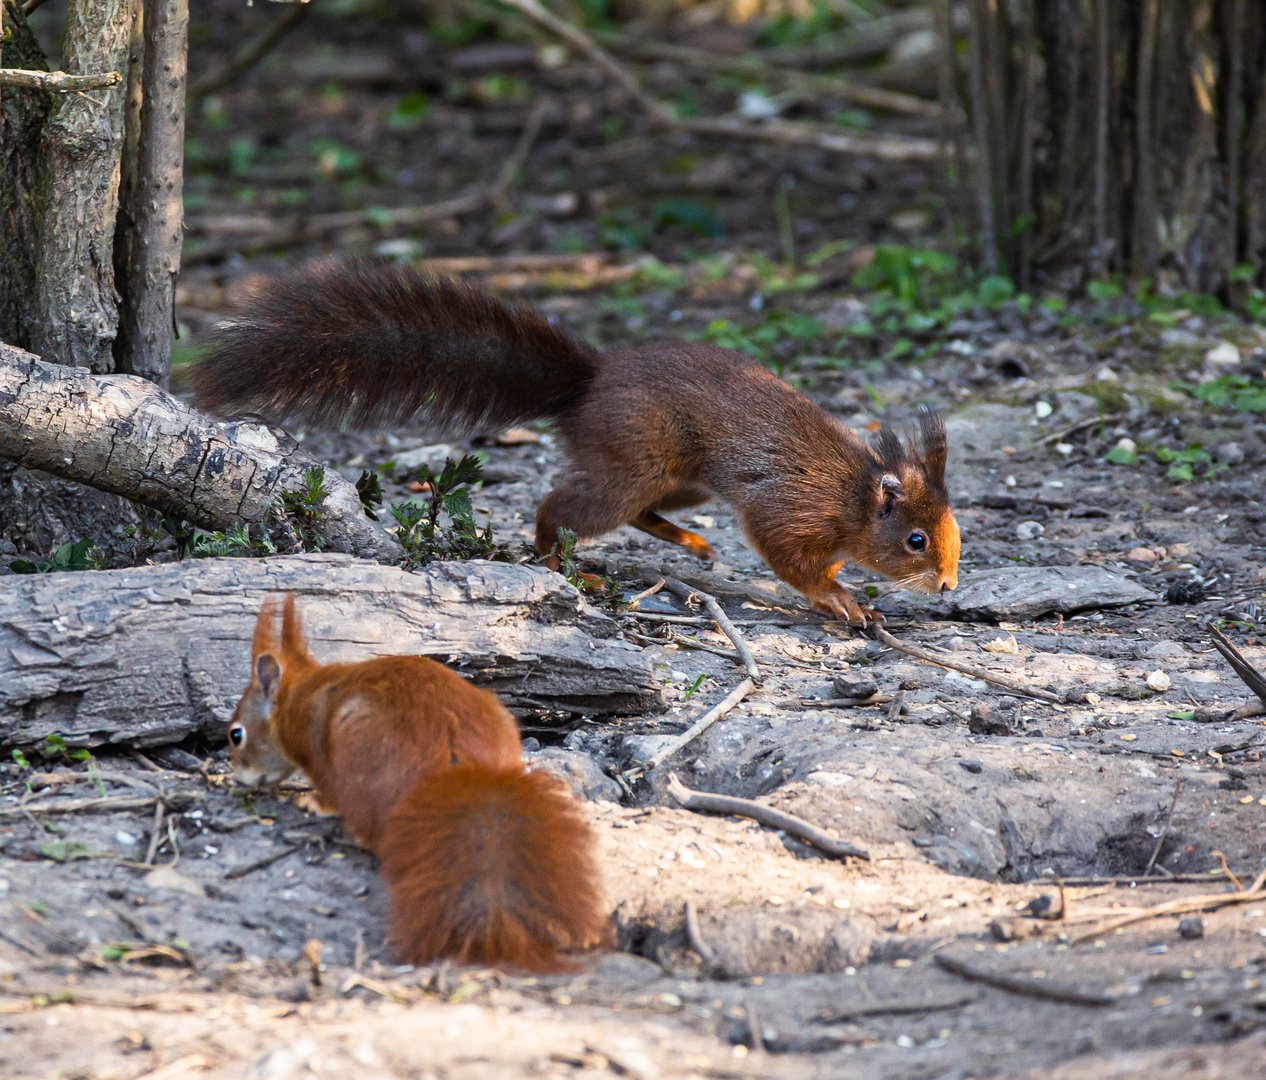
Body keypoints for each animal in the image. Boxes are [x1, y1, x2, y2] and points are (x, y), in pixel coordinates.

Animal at [194, 255, 957, 620]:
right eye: (916, 540)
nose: (949, 586)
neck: (855, 498)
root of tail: (591, 383)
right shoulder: (792, 507)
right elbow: (787, 556)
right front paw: (837, 596)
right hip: (636, 461)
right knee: (561, 508)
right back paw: (564, 564)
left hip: (674, 479)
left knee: (645, 513)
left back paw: (690, 542)